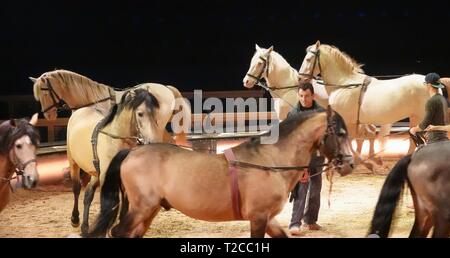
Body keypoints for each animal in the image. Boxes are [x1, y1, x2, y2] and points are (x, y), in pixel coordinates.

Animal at [67, 88, 163, 236]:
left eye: (156, 113)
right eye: (140, 114)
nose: (154, 142)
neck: (116, 139)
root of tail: (79, 111)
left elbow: (125, 204)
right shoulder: (106, 177)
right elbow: (111, 204)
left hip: (95, 172)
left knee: (88, 193)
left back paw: (85, 227)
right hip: (74, 163)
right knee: (76, 189)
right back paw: (75, 219)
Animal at [87, 107, 356, 238]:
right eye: (341, 133)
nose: (350, 164)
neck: (270, 161)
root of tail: (132, 152)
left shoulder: (268, 218)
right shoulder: (258, 217)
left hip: (149, 210)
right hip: (141, 207)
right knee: (118, 233)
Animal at [244, 44, 382, 169]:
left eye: (259, 63)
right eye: (251, 61)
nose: (246, 81)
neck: (288, 88)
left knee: (366, 134)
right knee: (368, 133)